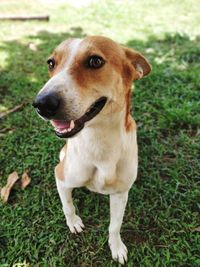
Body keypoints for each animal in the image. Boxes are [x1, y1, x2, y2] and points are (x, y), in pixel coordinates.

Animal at [32, 36, 151, 266]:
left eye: (95, 61)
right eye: (51, 63)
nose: (42, 104)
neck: (99, 143)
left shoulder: (120, 193)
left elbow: (114, 226)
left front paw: (116, 247)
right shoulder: (61, 176)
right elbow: (68, 205)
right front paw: (73, 222)